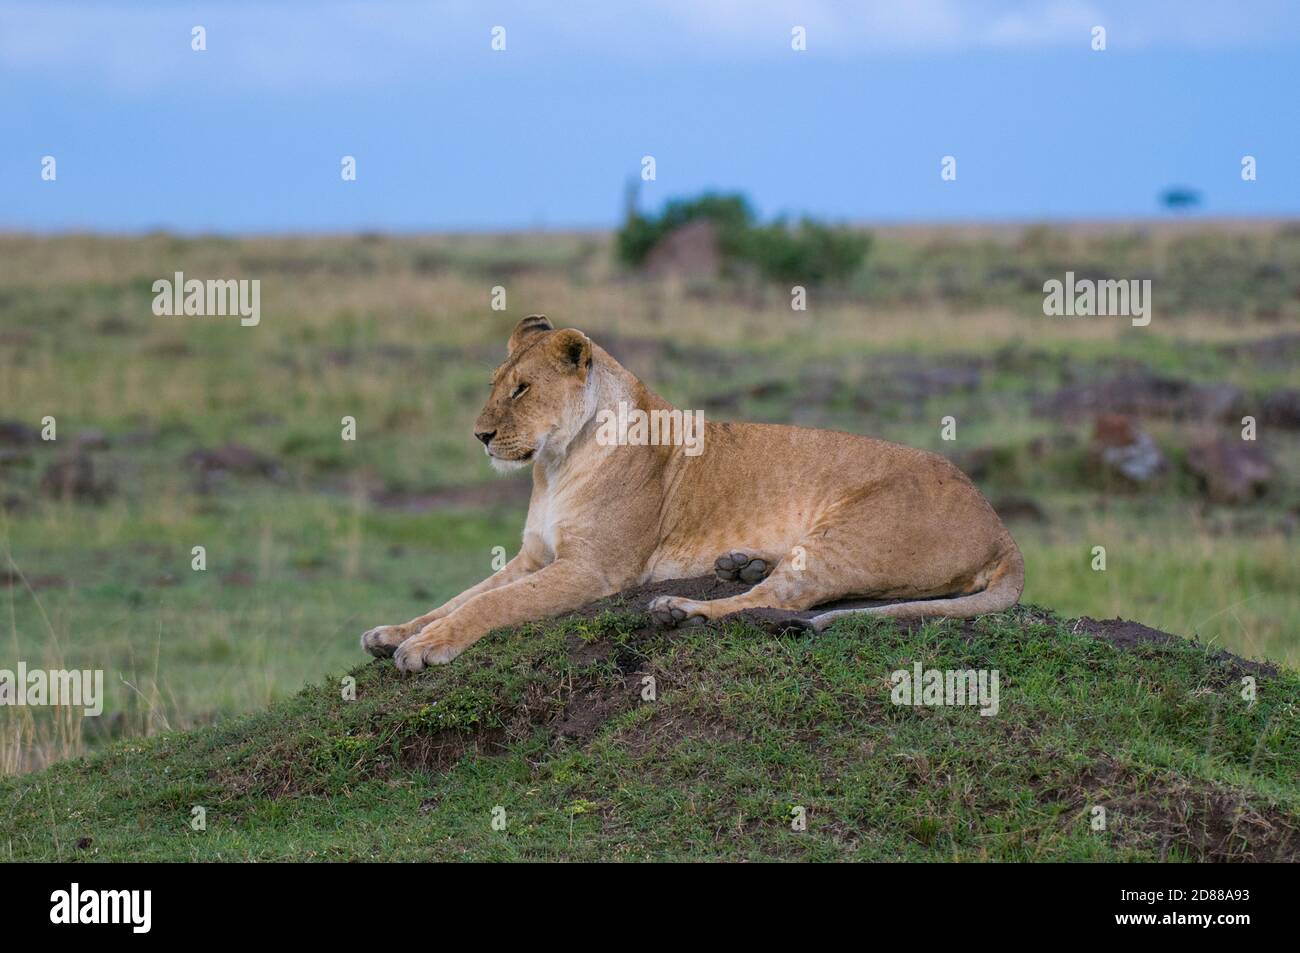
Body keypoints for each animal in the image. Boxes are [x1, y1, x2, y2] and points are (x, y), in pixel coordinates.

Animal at [362, 315, 1024, 672]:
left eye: (523, 389)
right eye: (496, 385)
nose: (480, 435)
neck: (553, 464)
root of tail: (1001, 528)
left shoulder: (593, 570)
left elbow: (490, 606)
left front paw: (426, 647)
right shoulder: (533, 556)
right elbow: (458, 596)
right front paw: (395, 631)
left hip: (850, 538)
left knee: (781, 599)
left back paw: (684, 608)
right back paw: (739, 563)